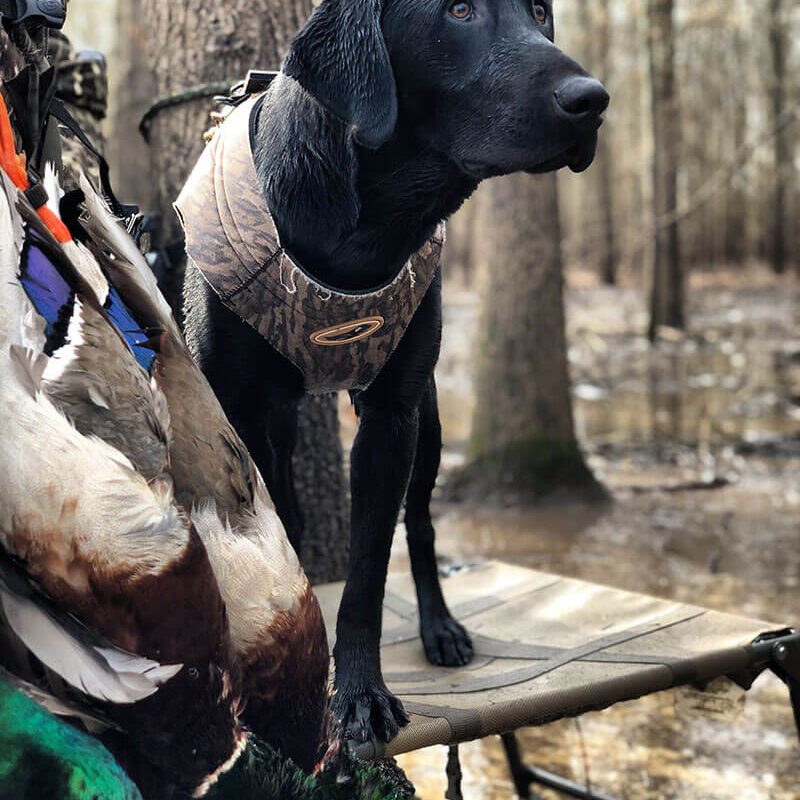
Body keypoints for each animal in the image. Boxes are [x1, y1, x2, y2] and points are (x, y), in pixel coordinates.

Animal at [181, 0, 608, 748]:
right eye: (458, 10)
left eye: (540, 13)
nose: (592, 101)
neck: (366, 224)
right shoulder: (234, 409)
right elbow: (268, 544)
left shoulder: (390, 419)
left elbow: (368, 578)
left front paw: (359, 695)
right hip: (282, 422)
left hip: (429, 424)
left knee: (422, 525)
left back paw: (440, 627)